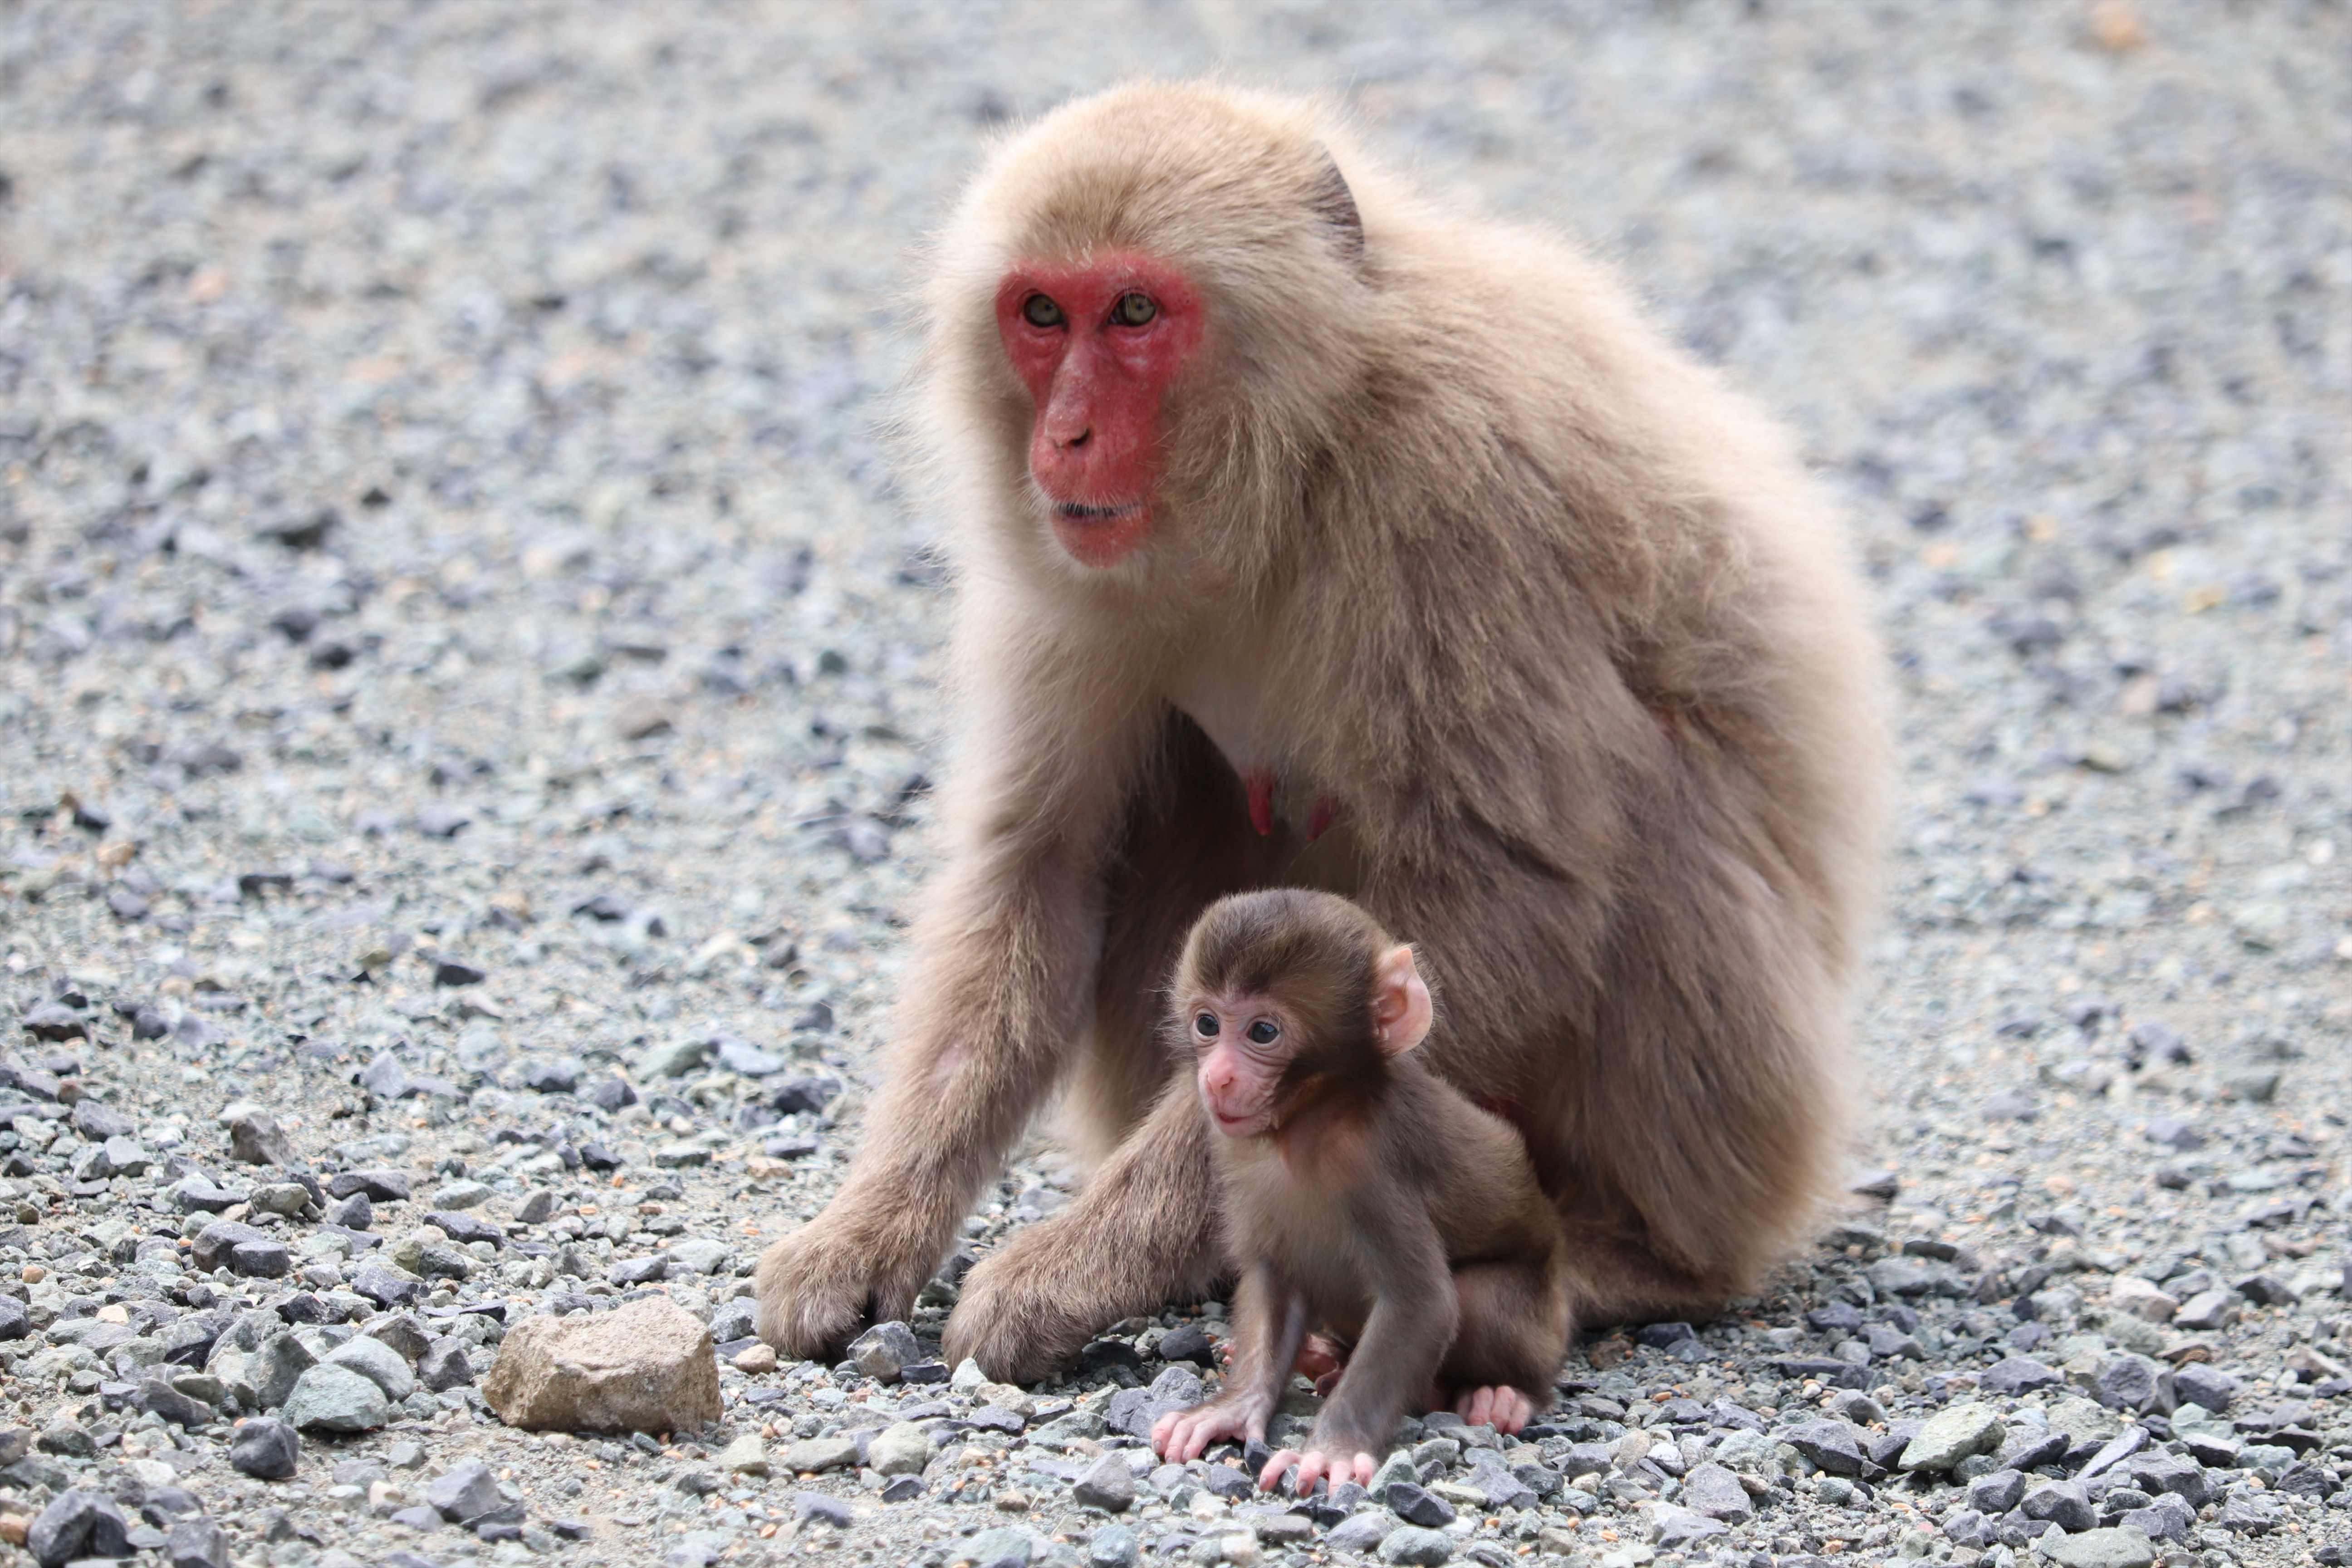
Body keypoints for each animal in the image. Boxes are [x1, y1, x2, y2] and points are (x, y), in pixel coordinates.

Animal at [1147, 888, 1571, 1495]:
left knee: (1478, 1303)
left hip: (1541, 1323)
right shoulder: (1232, 1151)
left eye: (1262, 1033)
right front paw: (1229, 1408)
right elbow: (1274, 1277)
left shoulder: (1373, 1167)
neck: (1308, 1121)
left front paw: (1332, 1451)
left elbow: (1421, 1303)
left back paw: (1503, 1395)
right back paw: (1324, 1357)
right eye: (1207, 1023)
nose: (1218, 1078)